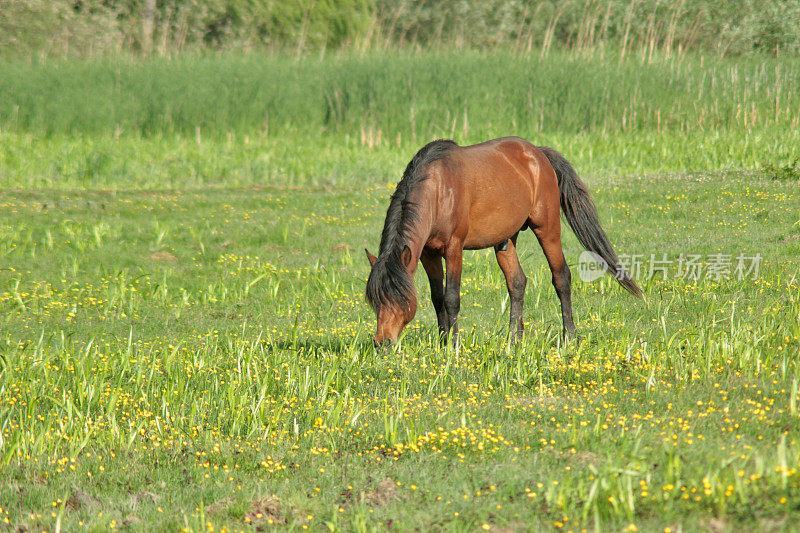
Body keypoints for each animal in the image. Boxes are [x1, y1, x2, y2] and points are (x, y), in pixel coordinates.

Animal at [366, 135, 640, 348]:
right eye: (375, 300)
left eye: (398, 297)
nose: (381, 343)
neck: (438, 190)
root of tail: (538, 153)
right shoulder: (427, 254)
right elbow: (437, 297)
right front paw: (442, 343)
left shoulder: (454, 248)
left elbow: (451, 297)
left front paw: (453, 347)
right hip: (506, 240)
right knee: (517, 282)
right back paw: (513, 341)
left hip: (547, 228)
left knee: (561, 277)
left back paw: (569, 337)